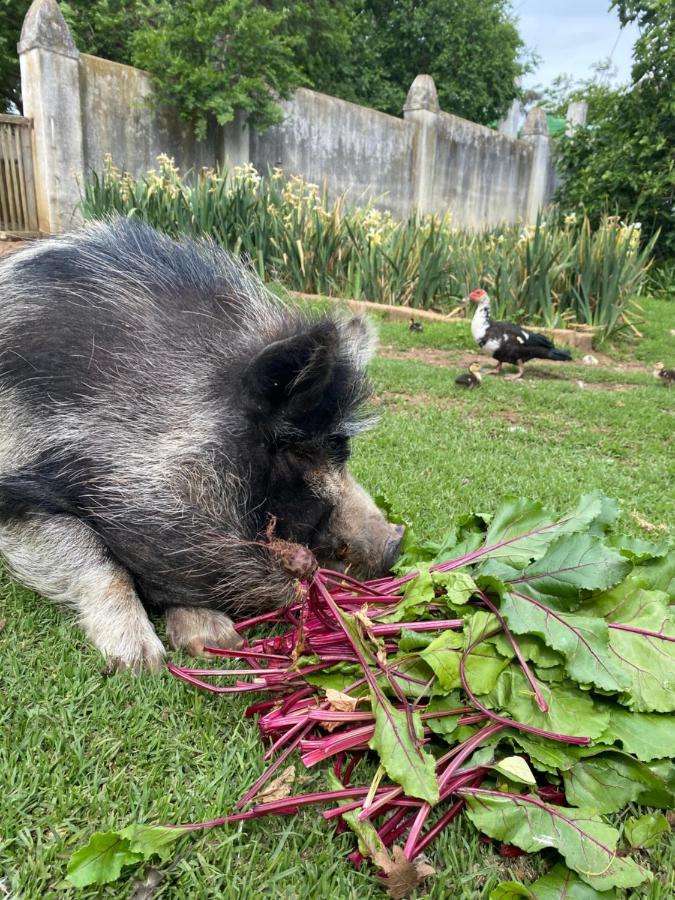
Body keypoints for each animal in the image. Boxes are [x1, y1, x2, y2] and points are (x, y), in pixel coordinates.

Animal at [0, 218, 404, 668]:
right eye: (295, 450)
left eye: (342, 448)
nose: (395, 542)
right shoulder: (17, 490)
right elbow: (92, 555)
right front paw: (143, 662)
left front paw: (214, 640)